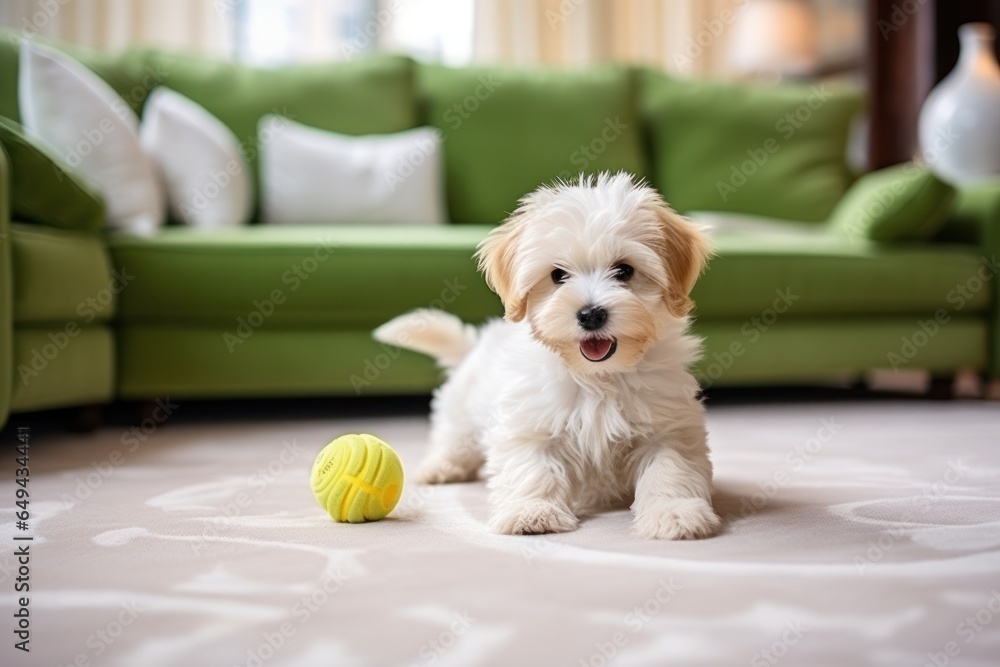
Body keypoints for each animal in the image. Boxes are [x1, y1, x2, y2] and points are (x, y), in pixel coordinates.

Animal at [376, 174, 720, 544]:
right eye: (558, 276)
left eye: (624, 271)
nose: (590, 314)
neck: (600, 376)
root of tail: (476, 345)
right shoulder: (529, 422)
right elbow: (533, 467)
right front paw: (532, 511)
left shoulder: (669, 426)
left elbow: (670, 469)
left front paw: (674, 513)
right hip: (462, 411)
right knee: (454, 438)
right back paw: (440, 467)